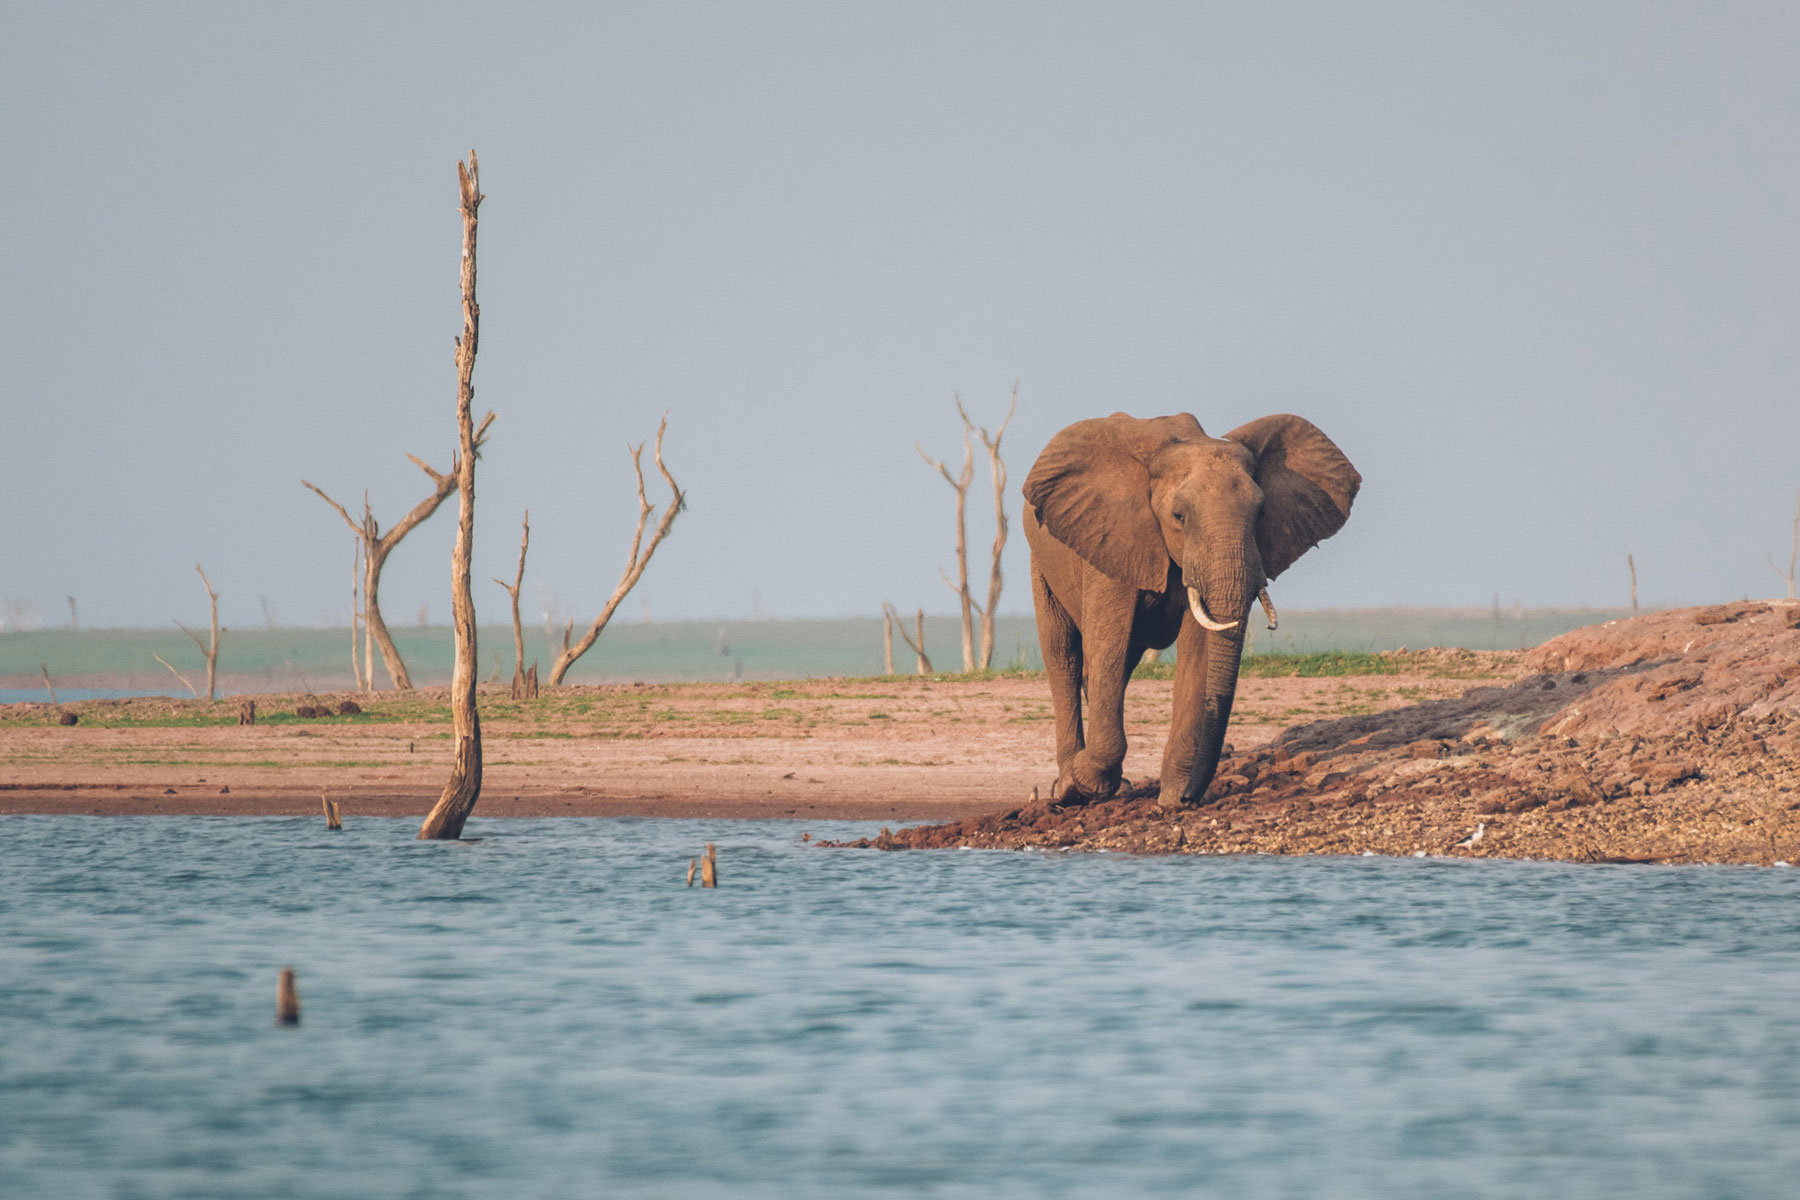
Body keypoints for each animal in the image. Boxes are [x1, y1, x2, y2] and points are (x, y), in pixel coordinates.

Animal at [1022, 408, 1353, 813]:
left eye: (1261, 513)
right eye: (1179, 516)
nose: (1193, 795)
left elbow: (1199, 649)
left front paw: (1174, 800)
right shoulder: (1110, 538)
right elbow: (1108, 645)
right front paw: (1085, 782)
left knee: (1120, 663)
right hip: (1042, 560)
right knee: (1064, 654)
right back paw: (1068, 787)